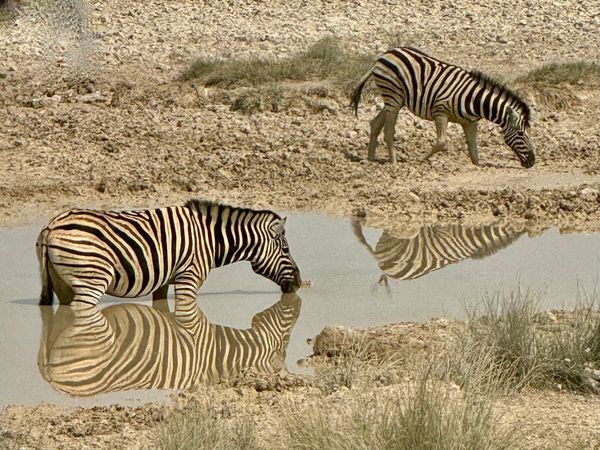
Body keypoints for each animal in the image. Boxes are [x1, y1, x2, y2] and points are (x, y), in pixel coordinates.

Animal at [35, 199, 302, 312]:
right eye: (286, 250)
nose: (299, 283)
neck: (210, 239)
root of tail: (52, 226)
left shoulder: (163, 279)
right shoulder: (189, 278)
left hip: (61, 283)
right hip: (92, 279)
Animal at [350, 46, 536, 168]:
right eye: (521, 134)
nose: (532, 162)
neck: (475, 100)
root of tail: (385, 54)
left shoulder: (470, 123)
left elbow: (474, 151)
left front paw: (478, 165)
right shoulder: (440, 112)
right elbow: (441, 143)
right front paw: (420, 159)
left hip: (396, 99)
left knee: (375, 123)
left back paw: (371, 159)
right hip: (393, 96)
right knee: (389, 131)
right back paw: (393, 162)